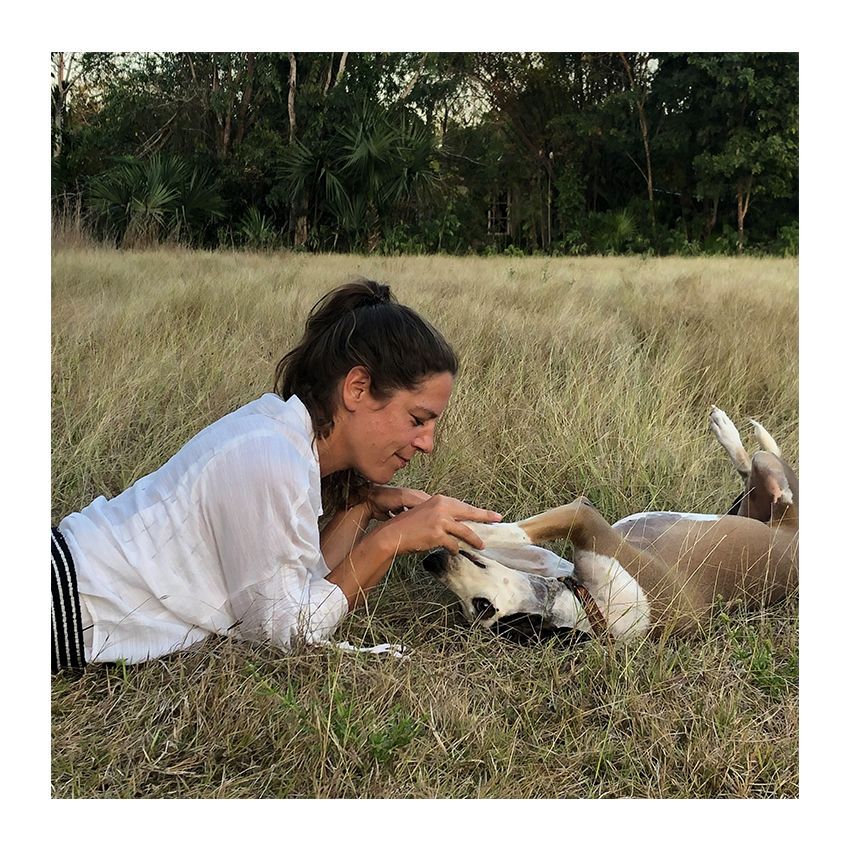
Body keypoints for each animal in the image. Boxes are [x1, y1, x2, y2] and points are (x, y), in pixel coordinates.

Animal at [423, 407, 798, 643]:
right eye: (472, 609)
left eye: (482, 607)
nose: (433, 562)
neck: (593, 608)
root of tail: (791, 529)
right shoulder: (550, 561)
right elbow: (503, 541)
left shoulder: (585, 518)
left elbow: (511, 531)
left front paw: (445, 522)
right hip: (750, 506)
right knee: (750, 474)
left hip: (774, 487)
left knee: (770, 470)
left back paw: (731, 431)